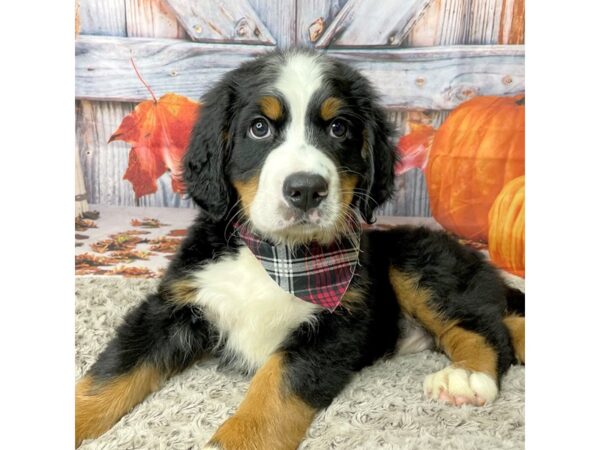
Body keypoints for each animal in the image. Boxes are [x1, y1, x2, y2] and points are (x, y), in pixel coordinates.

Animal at [76, 49, 524, 450]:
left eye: (339, 128)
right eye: (259, 128)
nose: (306, 189)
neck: (277, 255)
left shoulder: (337, 325)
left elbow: (274, 388)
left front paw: (239, 438)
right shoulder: (172, 307)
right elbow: (113, 371)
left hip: (418, 264)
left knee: (484, 328)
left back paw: (465, 377)